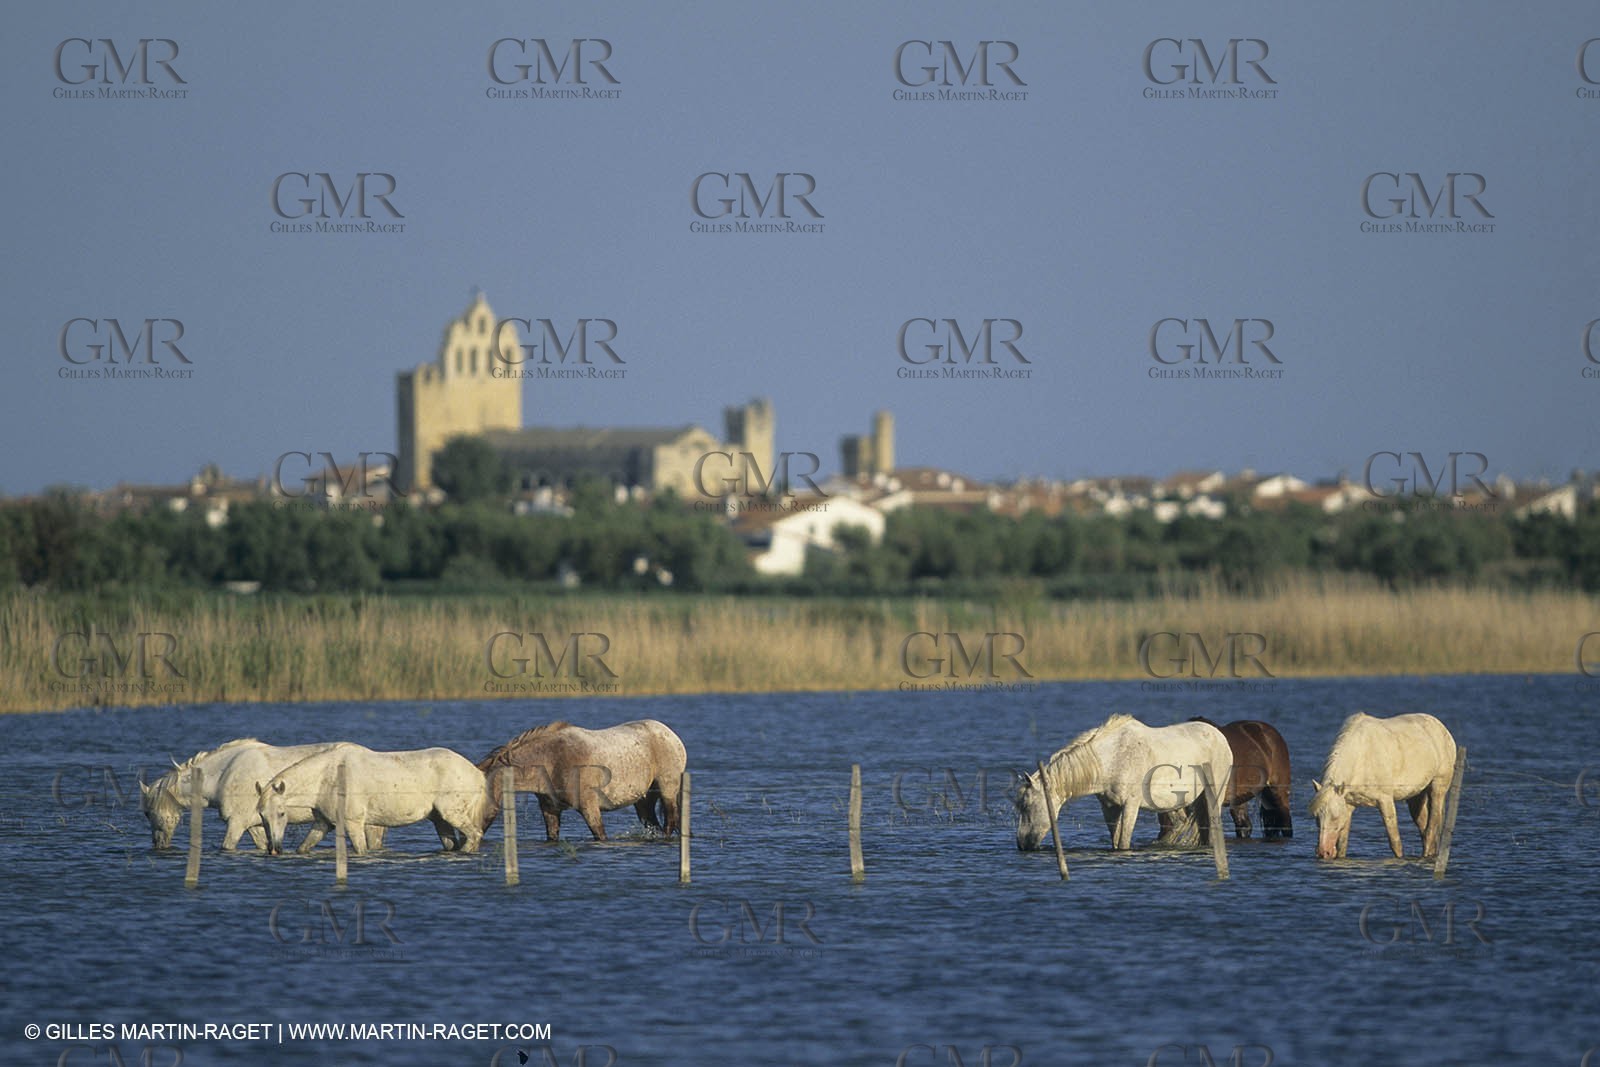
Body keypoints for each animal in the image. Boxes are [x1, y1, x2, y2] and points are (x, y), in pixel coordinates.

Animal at [139, 738, 386, 852]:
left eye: (147, 813)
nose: (158, 844)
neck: (223, 774)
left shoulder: (237, 823)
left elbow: (227, 846)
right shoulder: (255, 825)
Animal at [255, 743, 487, 855]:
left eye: (281, 813)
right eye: (262, 815)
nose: (274, 849)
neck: (327, 777)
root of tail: (476, 773)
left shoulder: (353, 823)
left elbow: (361, 849)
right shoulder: (323, 823)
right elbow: (304, 847)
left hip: (452, 814)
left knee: (475, 834)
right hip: (440, 820)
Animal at [476, 719, 687, 841]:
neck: (553, 759)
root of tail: (672, 735)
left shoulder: (589, 807)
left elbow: (600, 835)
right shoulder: (550, 809)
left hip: (667, 791)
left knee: (670, 822)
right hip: (643, 801)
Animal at [1015, 713, 1233, 851]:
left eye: (1026, 805)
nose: (1021, 844)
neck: (1112, 759)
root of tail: (1221, 737)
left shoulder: (1131, 805)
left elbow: (1123, 842)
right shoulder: (1109, 807)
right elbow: (1115, 840)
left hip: (1213, 796)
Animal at [1309, 711, 1457, 859]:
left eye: (1334, 817)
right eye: (1317, 817)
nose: (1324, 852)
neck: (1361, 758)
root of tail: (1441, 727)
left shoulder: (1385, 801)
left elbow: (1395, 842)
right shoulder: (1348, 805)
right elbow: (1342, 846)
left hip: (1438, 788)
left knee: (1431, 828)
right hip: (1416, 797)